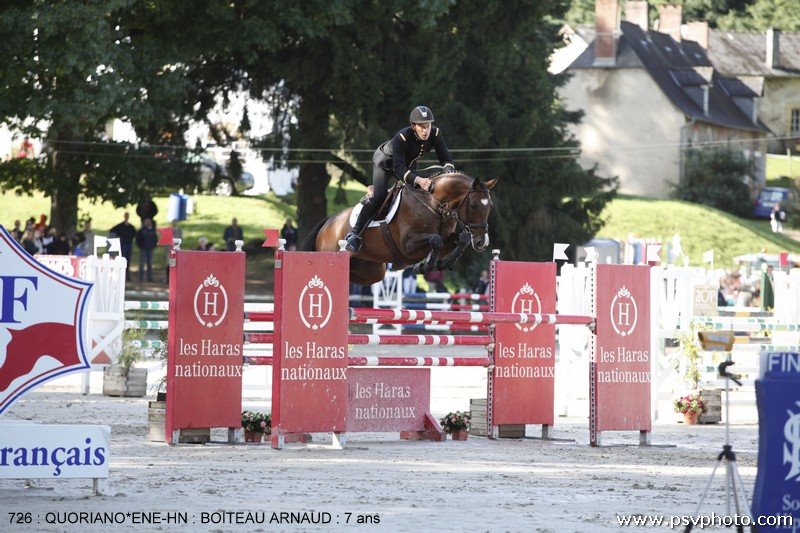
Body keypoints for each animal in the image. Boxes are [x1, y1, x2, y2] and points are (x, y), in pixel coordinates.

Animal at [304, 171, 496, 286]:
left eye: (490, 207)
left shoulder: (447, 238)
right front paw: (425, 266)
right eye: (474, 206)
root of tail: (329, 221)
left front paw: (441, 263)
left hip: (371, 271)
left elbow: (461, 239)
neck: (434, 204)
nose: (482, 242)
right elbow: (436, 240)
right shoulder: (408, 245)